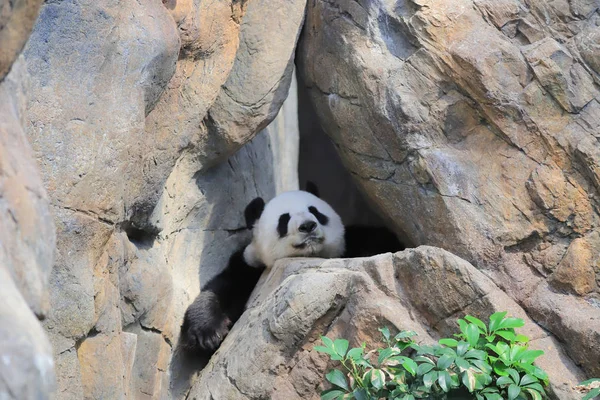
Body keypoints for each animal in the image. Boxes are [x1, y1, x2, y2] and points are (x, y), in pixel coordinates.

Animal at [180, 184, 400, 354]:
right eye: (284, 219)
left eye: (315, 211)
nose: (308, 226)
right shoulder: (249, 268)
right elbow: (221, 288)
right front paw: (208, 333)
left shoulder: (350, 246)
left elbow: (378, 239)